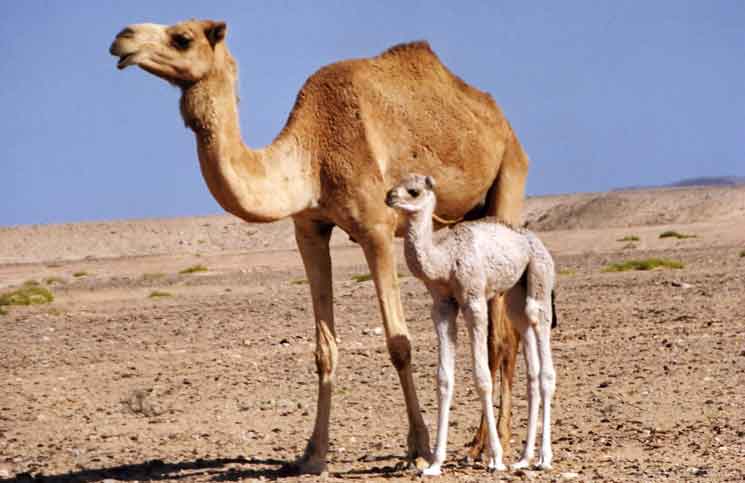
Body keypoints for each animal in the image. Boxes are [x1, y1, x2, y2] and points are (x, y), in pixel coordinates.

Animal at [109, 19, 529, 473]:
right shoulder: (309, 229)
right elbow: (324, 349)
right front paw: (312, 454)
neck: (314, 156)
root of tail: (500, 119)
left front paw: (418, 448)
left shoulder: (376, 228)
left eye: (182, 38)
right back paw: (481, 442)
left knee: (502, 337)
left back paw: (489, 444)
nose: (122, 38)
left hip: (509, 175)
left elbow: (399, 343)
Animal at [386, 174, 557, 474]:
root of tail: (534, 241)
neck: (445, 260)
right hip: (515, 293)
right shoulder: (442, 306)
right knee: (530, 362)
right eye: (396, 183)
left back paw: (544, 459)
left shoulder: (474, 300)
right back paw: (524, 458)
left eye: (413, 191)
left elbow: (483, 377)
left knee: (544, 356)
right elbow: (443, 379)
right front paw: (434, 464)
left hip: (540, 276)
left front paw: (495, 458)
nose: (389, 197)